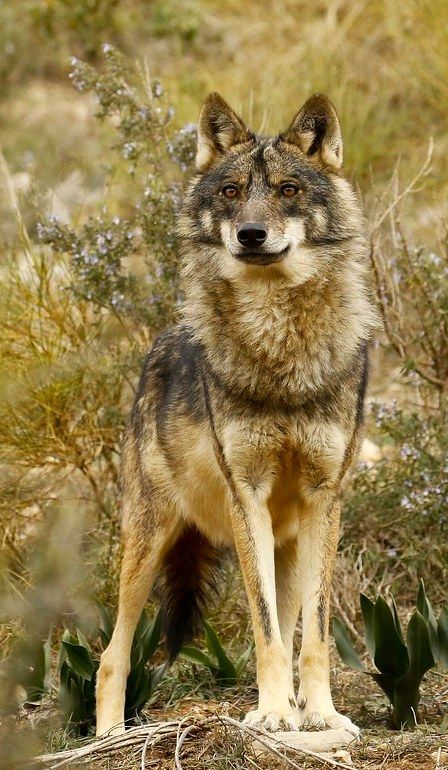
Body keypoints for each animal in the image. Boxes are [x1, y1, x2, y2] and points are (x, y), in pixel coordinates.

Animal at [95, 93, 378, 736]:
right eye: (230, 191)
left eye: (288, 189)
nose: (251, 234)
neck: (281, 352)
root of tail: (159, 341)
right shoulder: (246, 494)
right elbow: (266, 629)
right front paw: (272, 715)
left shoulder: (326, 500)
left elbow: (313, 635)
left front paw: (320, 716)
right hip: (148, 540)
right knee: (110, 655)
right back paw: (106, 738)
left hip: (287, 544)